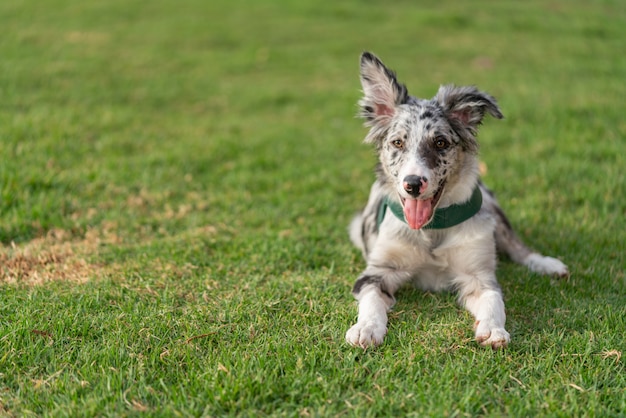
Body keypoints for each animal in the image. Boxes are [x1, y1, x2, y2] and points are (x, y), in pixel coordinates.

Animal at [344, 52, 568, 350]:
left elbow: (494, 301)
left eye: (440, 142)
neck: (433, 230)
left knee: (517, 247)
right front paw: (365, 329)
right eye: (398, 143)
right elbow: (370, 301)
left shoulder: (478, 275)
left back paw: (547, 265)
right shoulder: (376, 271)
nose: (412, 184)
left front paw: (493, 329)